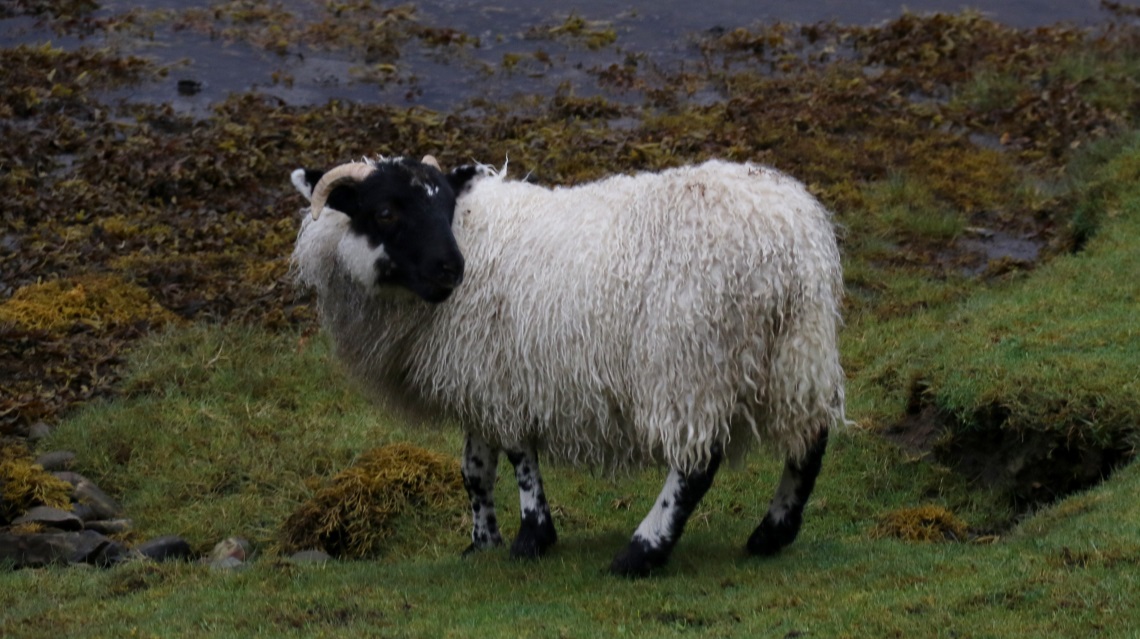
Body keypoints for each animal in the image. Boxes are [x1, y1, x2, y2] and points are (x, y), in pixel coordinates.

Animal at [289, 155, 846, 577]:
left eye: (446, 206)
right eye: (384, 211)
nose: (452, 268)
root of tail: (789, 242)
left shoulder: (503, 375)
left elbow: (518, 457)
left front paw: (532, 537)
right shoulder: (478, 380)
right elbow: (475, 469)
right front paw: (482, 543)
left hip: (690, 359)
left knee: (696, 464)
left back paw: (640, 552)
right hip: (797, 351)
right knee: (810, 440)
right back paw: (772, 534)